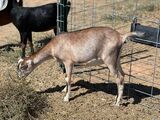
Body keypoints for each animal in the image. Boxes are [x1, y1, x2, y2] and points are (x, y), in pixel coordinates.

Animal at [16, 26, 144, 106]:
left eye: (23, 67)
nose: (19, 78)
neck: (55, 45)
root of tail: (120, 36)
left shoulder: (68, 62)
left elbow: (68, 78)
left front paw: (66, 98)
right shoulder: (66, 63)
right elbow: (66, 77)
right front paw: (63, 90)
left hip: (109, 60)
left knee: (119, 78)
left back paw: (117, 103)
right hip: (117, 60)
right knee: (123, 74)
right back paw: (118, 99)